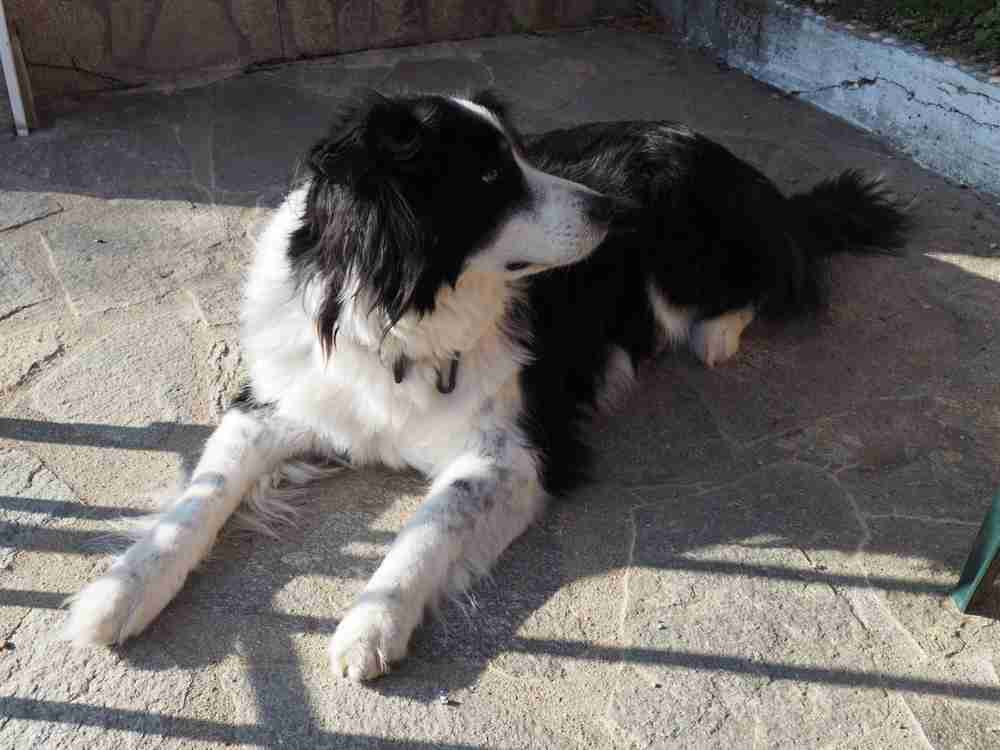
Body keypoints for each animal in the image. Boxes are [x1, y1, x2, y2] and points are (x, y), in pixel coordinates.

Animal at [65, 90, 908, 681]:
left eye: (523, 155)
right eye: (490, 174)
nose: (613, 212)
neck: (402, 317)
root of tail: (753, 179)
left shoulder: (519, 449)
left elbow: (429, 524)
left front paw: (371, 625)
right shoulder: (274, 401)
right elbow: (197, 498)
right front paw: (118, 593)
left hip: (686, 260)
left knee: (780, 272)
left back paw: (719, 333)